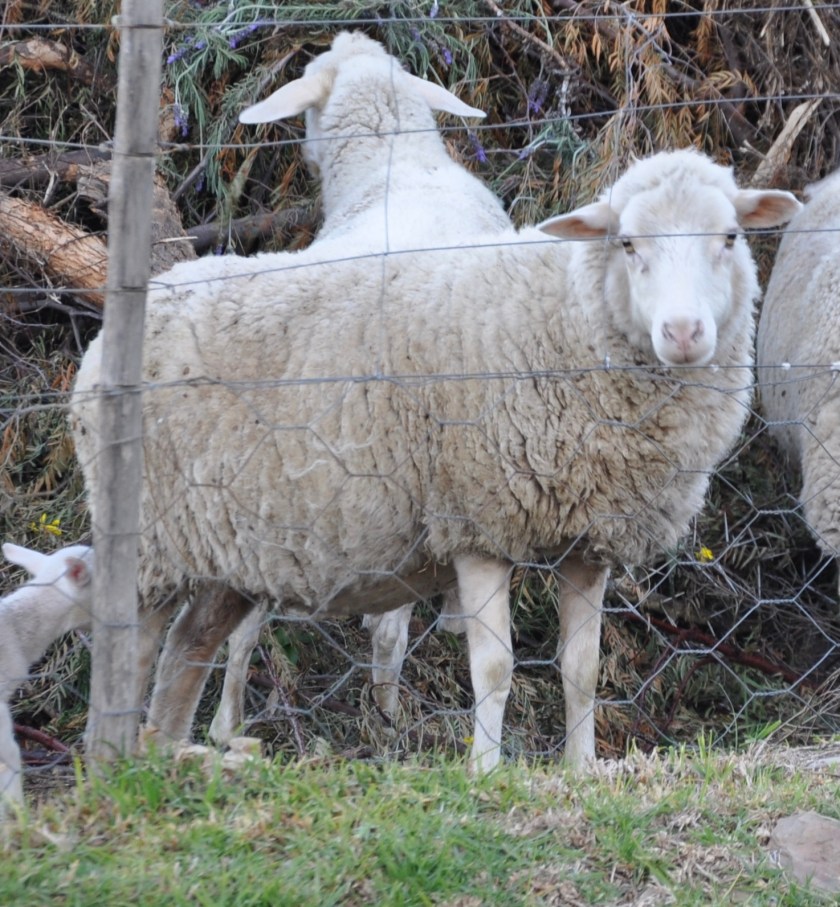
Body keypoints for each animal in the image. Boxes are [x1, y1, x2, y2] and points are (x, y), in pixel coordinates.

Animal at [70, 148, 800, 772]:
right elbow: (495, 668)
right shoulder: (477, 522)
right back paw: (116, 763)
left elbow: (581, 670)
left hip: (229, 547)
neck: (566, 321)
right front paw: (485, 772)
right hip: (147, 538)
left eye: (729, 238)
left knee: (187, 645)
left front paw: (581, 769)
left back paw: (166, 752)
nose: (684, 333)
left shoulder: (589, 540)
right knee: (133, 643)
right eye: (627, 243)